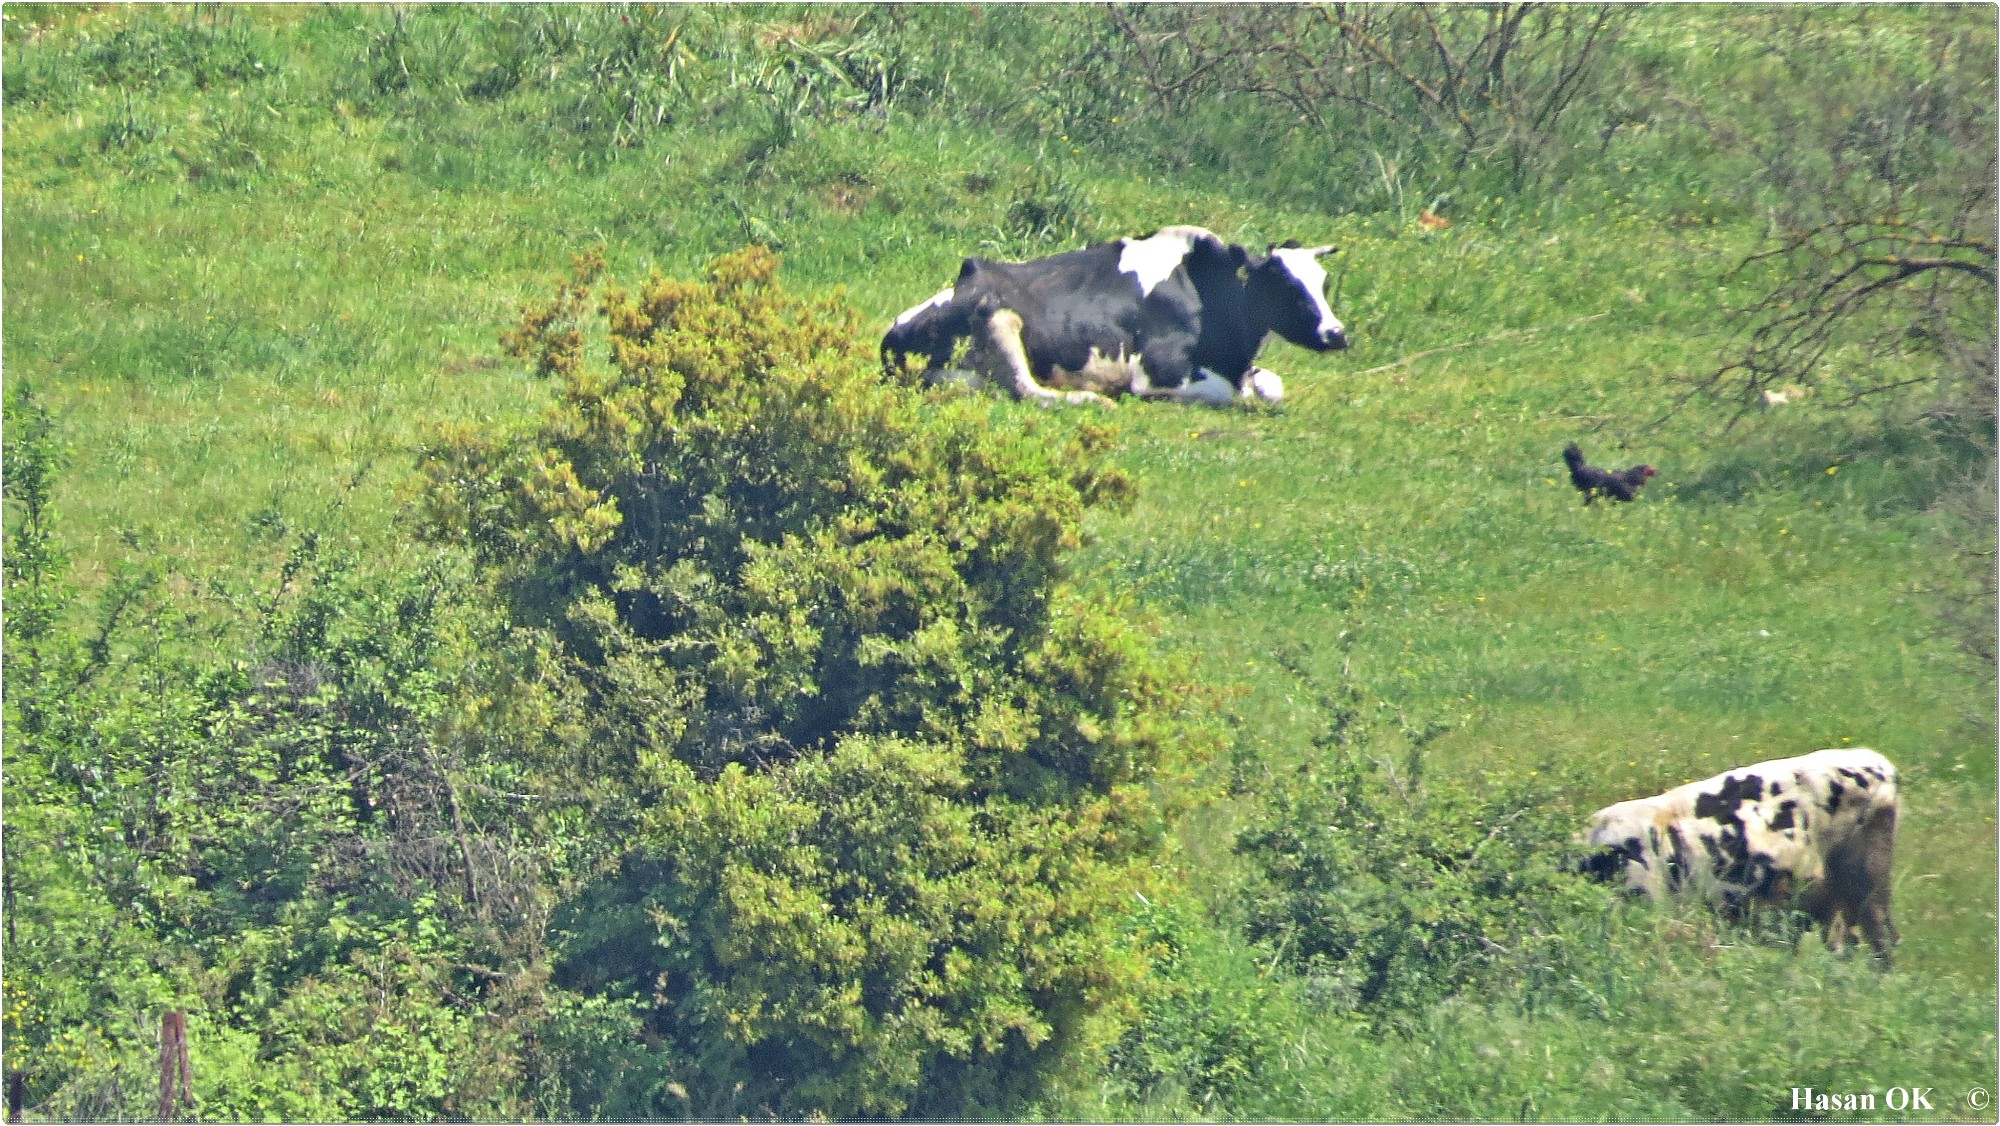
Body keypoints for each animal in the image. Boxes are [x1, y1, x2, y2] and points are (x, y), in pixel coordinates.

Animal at [884, 225, 1352, 406]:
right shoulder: (1159, 372)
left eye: (1324, 282)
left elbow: (1271, 386)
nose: (1337, 334)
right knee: (1027, 390)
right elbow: (1231, 393)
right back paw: (1092, 397)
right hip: (1000, 318)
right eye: (1287, 286)